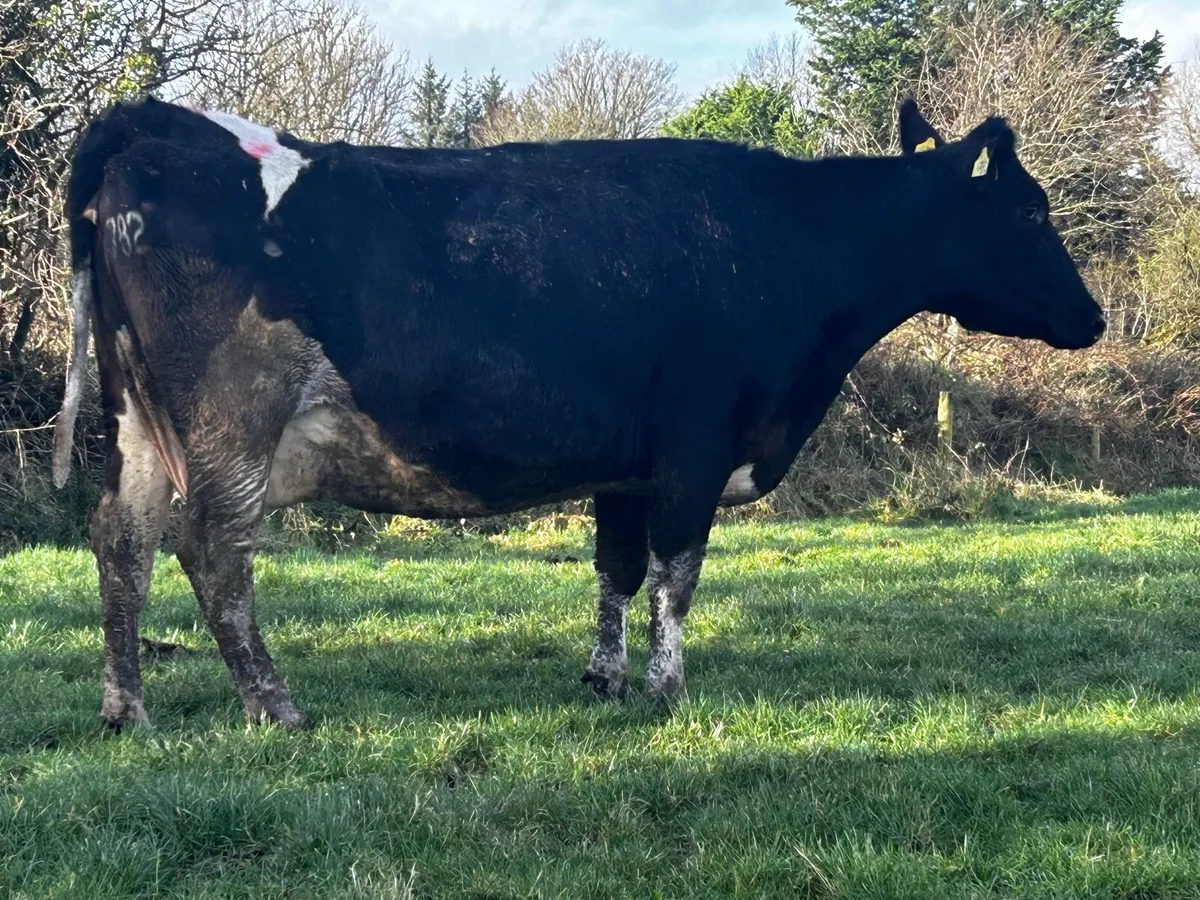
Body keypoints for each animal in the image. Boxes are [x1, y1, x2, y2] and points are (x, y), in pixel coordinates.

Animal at [51, 96, 1104, 731]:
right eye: (1031, 213)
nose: (1092, 317)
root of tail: (156, 122)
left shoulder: (625, 463)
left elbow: (618, 570)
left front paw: (604, 678)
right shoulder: (693, 446)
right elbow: (677, 576)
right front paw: (668, 689)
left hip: (139, 422)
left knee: (121, 539)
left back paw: (126, 708)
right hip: (232, 422)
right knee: (212, 550)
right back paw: (276, 707)